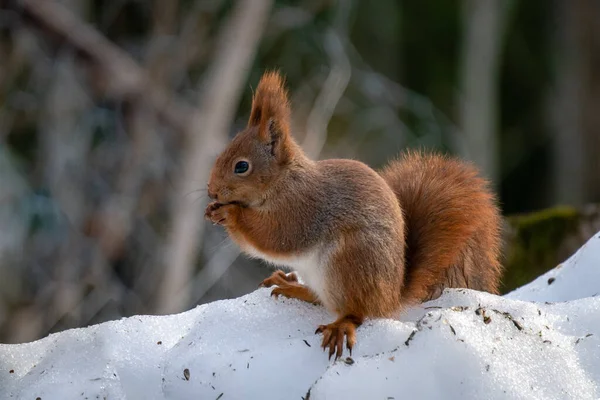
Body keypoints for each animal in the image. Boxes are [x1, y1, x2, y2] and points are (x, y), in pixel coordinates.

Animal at [205, 71, 502, 360]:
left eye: (241, 166)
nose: (211, 191)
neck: (285, 181)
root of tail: (391, 300)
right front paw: (213, 211)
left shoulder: (300, 210)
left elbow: (274, 237)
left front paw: (230, 213)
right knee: (322, 299)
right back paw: (292, 286)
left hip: (349, 264)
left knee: (357, 312)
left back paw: (340, 325)